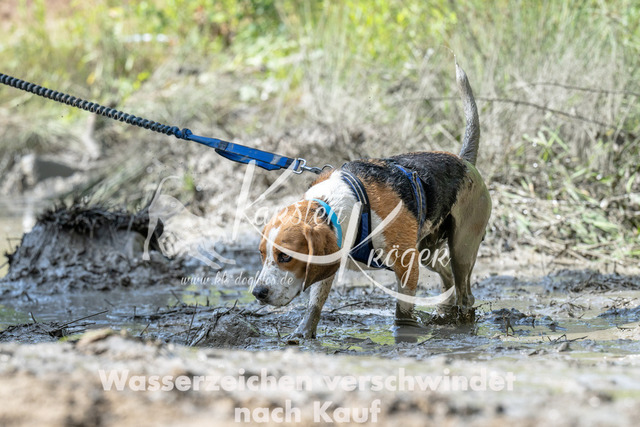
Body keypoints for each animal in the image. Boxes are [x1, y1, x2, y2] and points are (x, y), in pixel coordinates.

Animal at [252, 63, 491, 339]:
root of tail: (463, 161)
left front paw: (403, 334)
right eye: (261, 254)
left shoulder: (406, 266)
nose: (258, 293)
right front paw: (303, 332)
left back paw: (461, 323)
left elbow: (402, 312)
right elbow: (315, 303)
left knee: (465, 294)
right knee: (448, 279)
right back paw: (445, 312)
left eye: (285, 257)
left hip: (461, 249)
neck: (334, 206)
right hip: (426, 252)